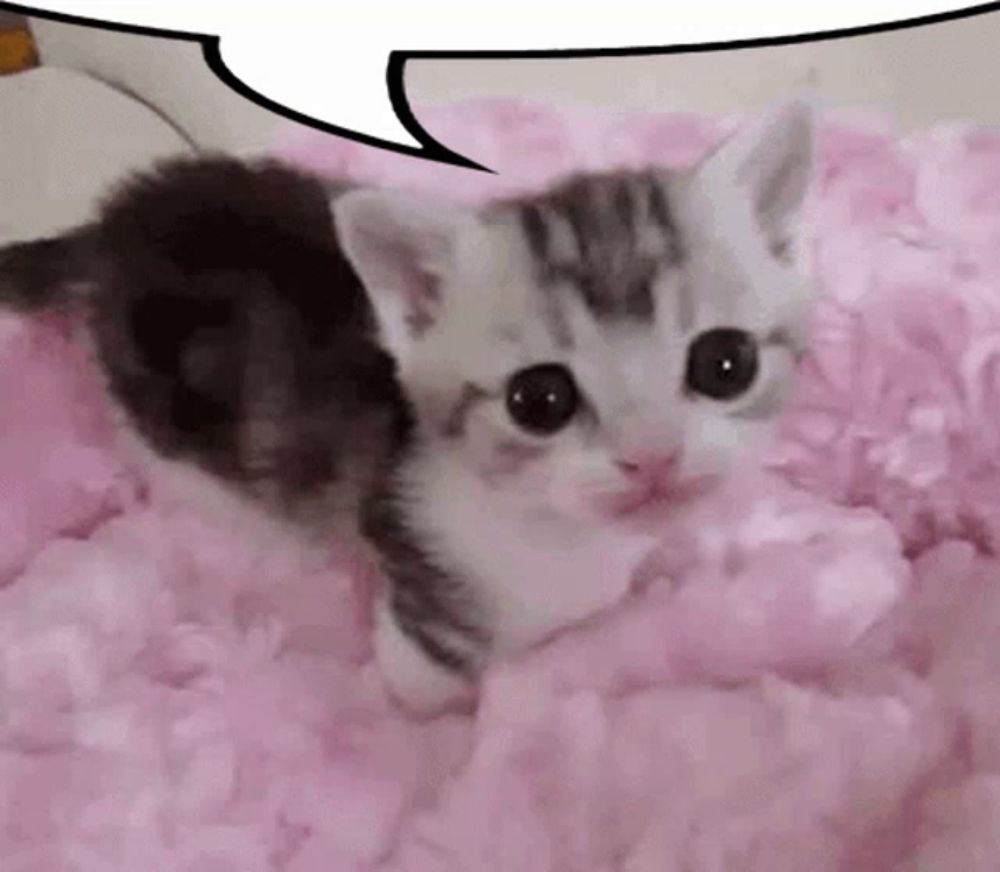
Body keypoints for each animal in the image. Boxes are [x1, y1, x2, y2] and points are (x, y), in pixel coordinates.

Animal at [0, 102, 812, 716]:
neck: (554, 534)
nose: (653, 456)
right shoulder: (414, 573)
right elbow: (425, 686)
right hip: (160, 419)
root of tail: (114, 222)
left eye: (726, 363)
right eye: (539, 400)